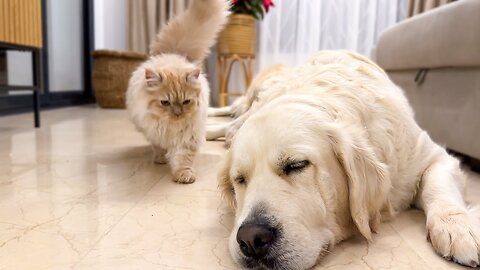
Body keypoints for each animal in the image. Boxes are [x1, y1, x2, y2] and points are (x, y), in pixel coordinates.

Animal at [126, 0, 230, 184]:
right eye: (165, 102)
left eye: (186, 102)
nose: (177, 114)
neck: (171, 126)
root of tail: (174, 53)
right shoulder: (155, 133)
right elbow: (159, 146)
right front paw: (161, 158)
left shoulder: (188, 137)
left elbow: (183, 159)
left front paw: (184, 175)